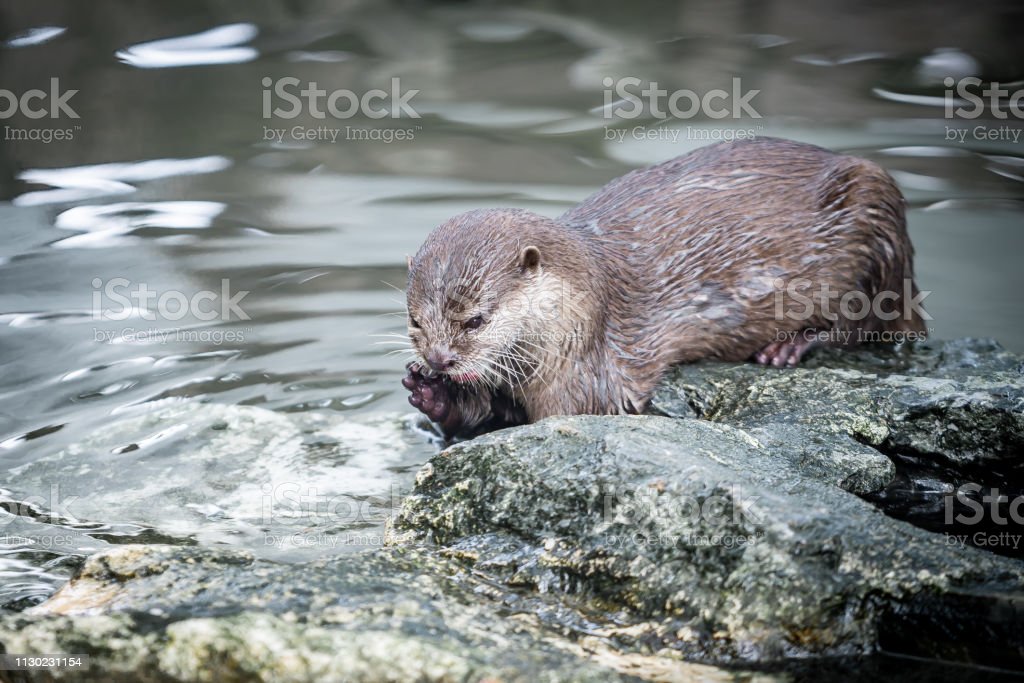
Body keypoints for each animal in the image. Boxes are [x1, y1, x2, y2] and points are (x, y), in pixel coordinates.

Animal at [399, 138, 929, 438]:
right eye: (416, 321)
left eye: (476, 320)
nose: (440, 361)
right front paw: (431, 394)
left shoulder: (588, 373)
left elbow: (553, 419)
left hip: (877, 219)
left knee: (869, 322)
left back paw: (789, 346)